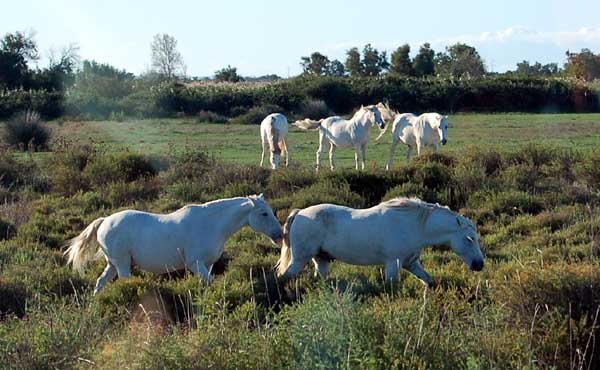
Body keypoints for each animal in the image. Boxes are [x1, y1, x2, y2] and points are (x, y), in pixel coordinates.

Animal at [65, 195, 284, 294]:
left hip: (112, 264)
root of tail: (104, 221)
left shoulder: (207, 265)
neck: (211, 224)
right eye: (264, 213)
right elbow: (210, 282)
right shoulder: (196, 264)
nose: (279, 235)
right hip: (122, 264)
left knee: (100, 282)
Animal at [276, 197, 482, 286]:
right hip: (300, 258)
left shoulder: (411, 263)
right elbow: (391, 288)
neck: (413, 225)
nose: (479, 264)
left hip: (321, 259)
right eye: (469, 239)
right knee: (285, 277)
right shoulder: (393, 263)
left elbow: (429, 281)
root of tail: (299, 213)